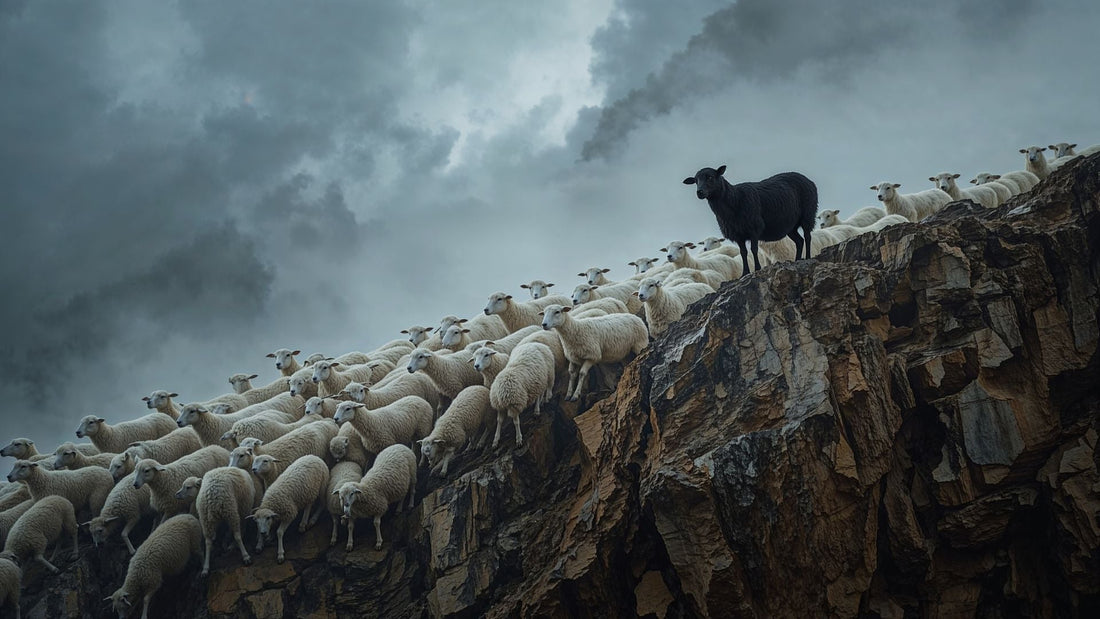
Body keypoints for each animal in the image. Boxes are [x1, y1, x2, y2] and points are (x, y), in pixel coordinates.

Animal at [684, 165, 818, 272]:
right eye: (695, 180)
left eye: (710, 177)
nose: (699, 192)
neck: (734, 200)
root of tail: (808, 180)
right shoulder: (738, 234)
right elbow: (743, 253)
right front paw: (745, 273)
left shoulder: (754, 228)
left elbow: (754, 249)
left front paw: (757, 268)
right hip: (791, 226)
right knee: (799, 241)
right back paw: (797, 259)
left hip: (808, 214)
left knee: (807, 236)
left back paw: (807, 257)